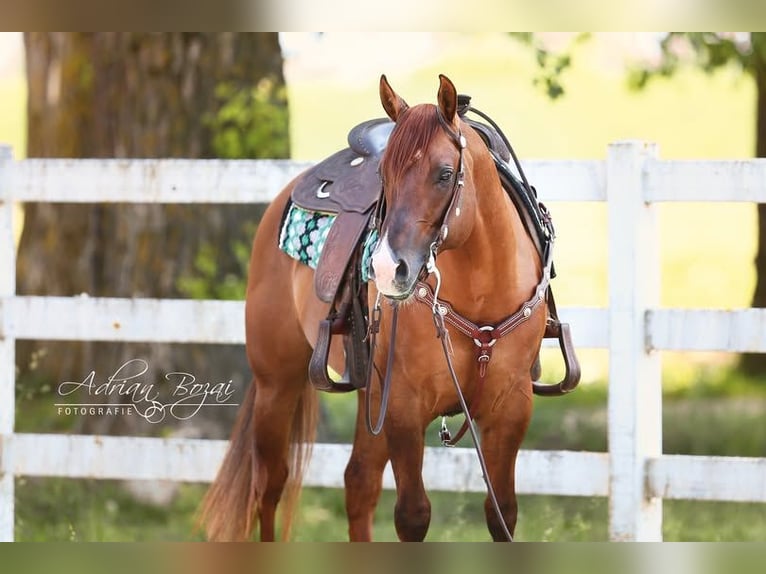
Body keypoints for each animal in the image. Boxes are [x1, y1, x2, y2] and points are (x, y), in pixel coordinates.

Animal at [199, 74, 557, 542]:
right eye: (383, 175)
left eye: (445, 174)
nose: (388, 269)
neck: (482, 294)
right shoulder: (404, 406)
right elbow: (413, 515)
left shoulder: (511, 408)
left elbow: (503, 514)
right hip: (277, 381)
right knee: (270, 485)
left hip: (367, 389)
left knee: (359, 483)